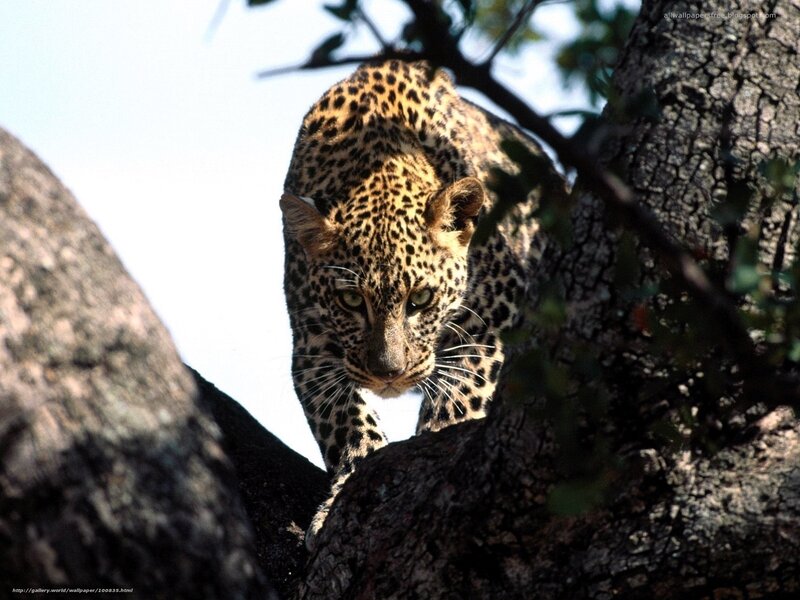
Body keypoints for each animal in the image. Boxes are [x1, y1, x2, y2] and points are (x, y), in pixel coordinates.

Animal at [280, 59, 565, 547]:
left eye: (421, 298)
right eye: (351, 300)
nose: (389, 374)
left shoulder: (493, 317)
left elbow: (459, 400)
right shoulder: (311, 347)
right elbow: (346, 423)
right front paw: (343, 495)